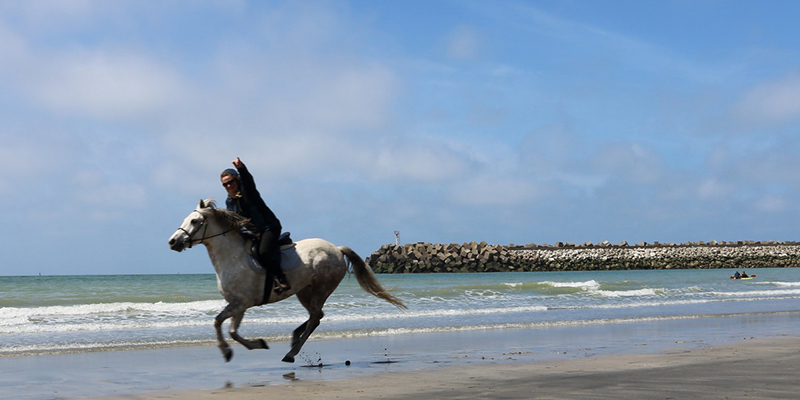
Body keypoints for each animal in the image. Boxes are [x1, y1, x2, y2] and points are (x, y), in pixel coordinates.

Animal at [168, 199, 406, 362]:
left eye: (195, 221)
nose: (173, 242)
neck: (232, 257)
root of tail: (337, 249)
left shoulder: (240, 303)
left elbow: (219, 322)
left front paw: (228, 351)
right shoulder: (239, 305)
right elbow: (231, 330)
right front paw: (256, 344)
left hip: (321, 288)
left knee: (314, 319)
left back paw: (291, 353)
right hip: (304, 291)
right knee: (316, 316)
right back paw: (293, 338)